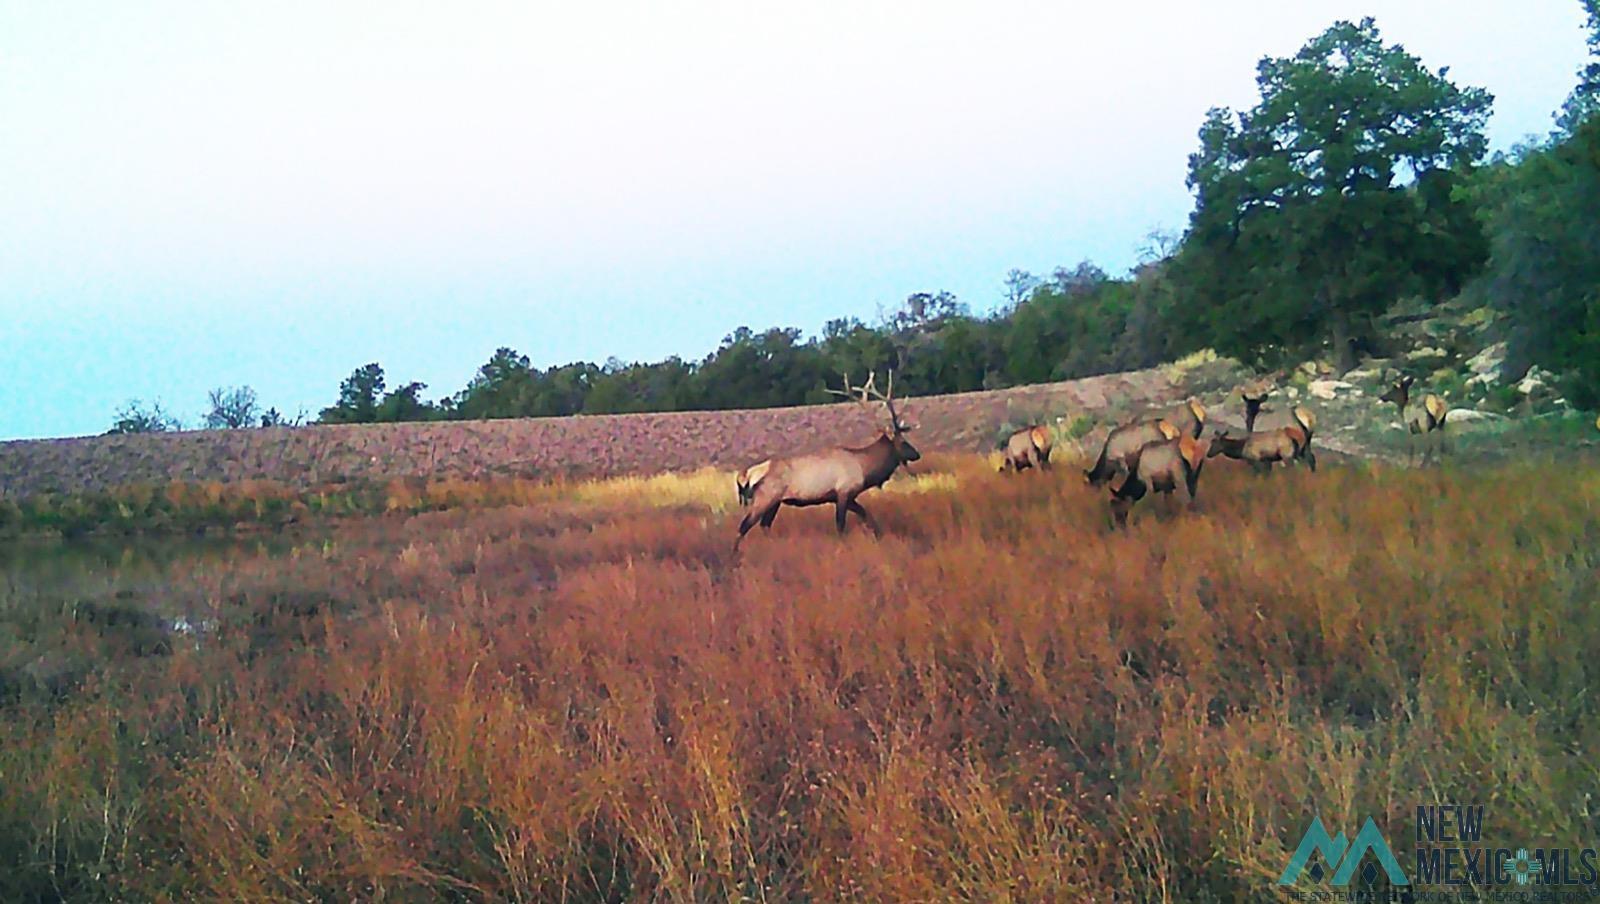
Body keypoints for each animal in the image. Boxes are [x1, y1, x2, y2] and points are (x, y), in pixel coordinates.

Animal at [732, 368, 921, 550]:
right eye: (903, 442)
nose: (917, 454)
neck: (864, 468)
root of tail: (746, 476)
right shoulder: (843, 491)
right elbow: (841, 524)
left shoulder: (845, 496)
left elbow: (865, 514)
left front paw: (876, 535)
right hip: (765, 497)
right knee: (744, 526)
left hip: (775, 502)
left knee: (764, 525)